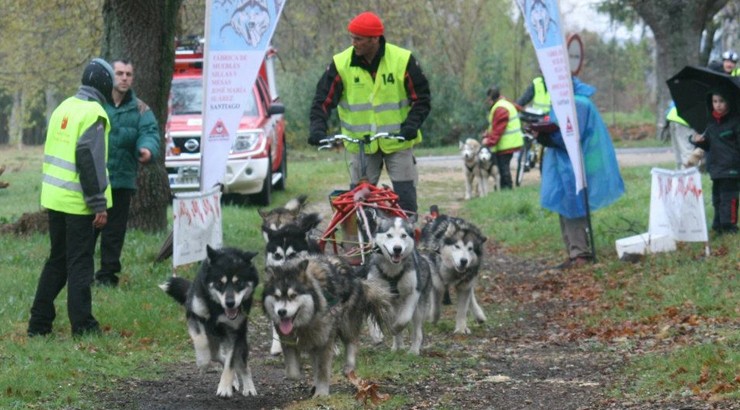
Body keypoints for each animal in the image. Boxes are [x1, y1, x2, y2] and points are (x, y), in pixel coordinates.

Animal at [160, 247, 260, 398]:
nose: (230, 303)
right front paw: (203, 363)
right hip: (213, 340)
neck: (217, 308)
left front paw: (224, 388)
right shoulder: (194, 316)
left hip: (240, 339)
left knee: (241, 364)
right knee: (217, 355)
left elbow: (230, 363)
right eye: (219, 283)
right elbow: (200, 340)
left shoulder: (235, 333)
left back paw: (247, 386)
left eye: (239, 283)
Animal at [264, 255, 396, 396]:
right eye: (276, 296)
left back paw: (349, 367)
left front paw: (321, 393)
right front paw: (311, 383)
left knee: (351, 341)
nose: (281, 312)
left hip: (346, 321)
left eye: (293, 295)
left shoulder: (325, 338)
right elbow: (292, 373)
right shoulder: (288, 340)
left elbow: (322, 368)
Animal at [366, 216, 434, 354]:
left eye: (403, 235)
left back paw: (414, 350)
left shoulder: (413, 293)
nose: (397, 249)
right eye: (389, 235)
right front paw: (381, 335)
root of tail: (424, 259)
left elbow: (403, 320)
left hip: (419, 309)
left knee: (417, 331)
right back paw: (397, 346)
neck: (392, 270)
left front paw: (396, 328)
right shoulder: (378, 295)